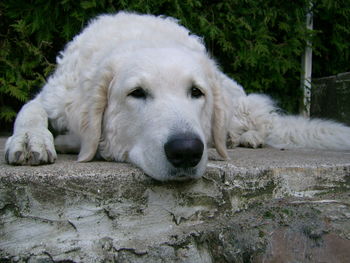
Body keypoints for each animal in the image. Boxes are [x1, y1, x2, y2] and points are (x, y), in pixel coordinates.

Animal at [4, 12, 350, 182]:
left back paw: (245, 137)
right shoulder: (55, 96)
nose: (187, 151)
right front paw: (30, 139)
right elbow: (29, 109)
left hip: (236, 101)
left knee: (254, 119)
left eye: (196, 92)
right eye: (137, 93)